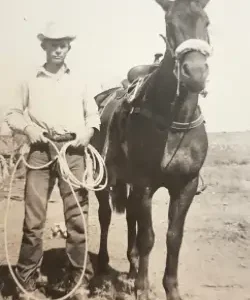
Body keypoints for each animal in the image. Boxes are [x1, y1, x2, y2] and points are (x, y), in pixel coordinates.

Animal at [94, 1, 213, 298]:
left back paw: (132, 265)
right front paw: (143, 288)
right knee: (105, 216)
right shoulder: (145, 185)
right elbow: (148, 237)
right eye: (169, 24)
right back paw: (102, 268)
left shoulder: (185, 186)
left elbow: (173, 237)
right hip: (106, 181)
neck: (174, 122)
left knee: (130, 217)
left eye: (205, 22)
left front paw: (170, 288)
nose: (195, 73)